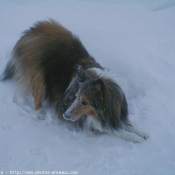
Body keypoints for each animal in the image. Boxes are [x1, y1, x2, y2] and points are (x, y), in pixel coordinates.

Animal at [1, 19, 149, 142]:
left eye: (84, 102)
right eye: (76, 97)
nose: (65, 115)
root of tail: (34, 29)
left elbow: (124, 124)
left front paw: (140, 132)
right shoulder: (93, 122)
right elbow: (114, 130)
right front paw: (133, 137)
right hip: (38, 75)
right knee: (37, 94)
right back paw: (39, 113)